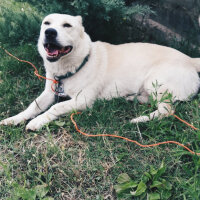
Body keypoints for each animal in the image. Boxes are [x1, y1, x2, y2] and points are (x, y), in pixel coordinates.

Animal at [0, 13, 200, 130]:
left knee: (167, 111)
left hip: (155, 80)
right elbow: (33, 106)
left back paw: (139, 120)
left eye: (67, 25)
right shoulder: (49, 92)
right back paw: (133, 98)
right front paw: (15, 119)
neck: (77, 64)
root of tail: (191, 59)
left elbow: (55, 107)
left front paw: (36, 121)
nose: (49, 32)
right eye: (46, 23)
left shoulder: (83, 100)